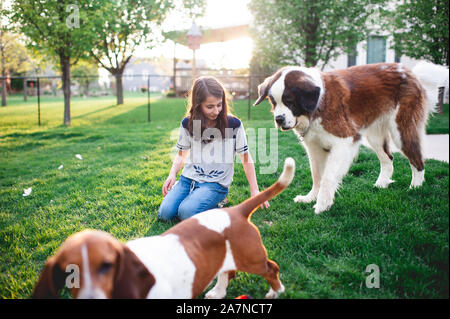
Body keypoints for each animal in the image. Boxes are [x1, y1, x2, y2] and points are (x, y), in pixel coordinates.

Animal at [253, 62, 432, 215]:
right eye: (273, 102)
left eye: (289, 101)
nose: (279, 119)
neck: (317, 104)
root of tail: (409, 72)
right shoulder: (314, 148)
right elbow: (316, 175)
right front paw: (310, 198)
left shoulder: (344, 141)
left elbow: (327, 177)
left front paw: (322, 204)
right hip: (375, 136)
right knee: (388, 158)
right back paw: (381, 184)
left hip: (400, 131)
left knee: (417, 160)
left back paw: (415, 188)